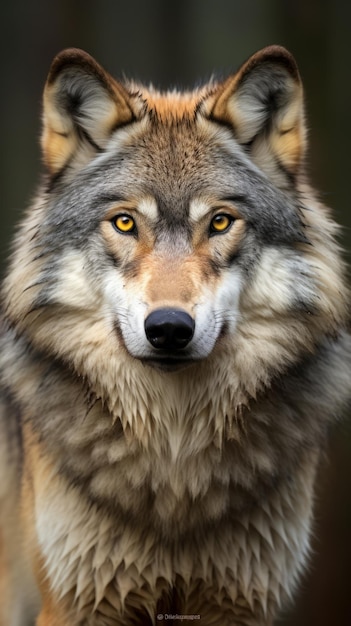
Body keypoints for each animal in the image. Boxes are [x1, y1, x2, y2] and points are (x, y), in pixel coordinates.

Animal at [0, 45, 350, 624]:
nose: (168, 328)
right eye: (124, 223)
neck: (174, 463)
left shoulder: (239, 604)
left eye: (221, 222)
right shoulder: (75, 605)